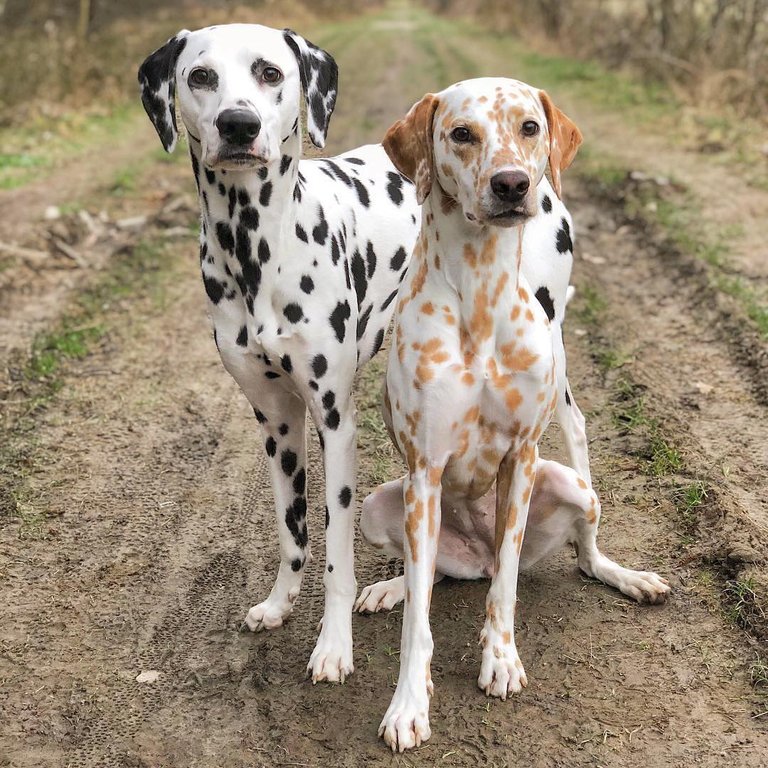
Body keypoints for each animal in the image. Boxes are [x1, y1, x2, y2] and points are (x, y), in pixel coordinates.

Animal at [138, 22, 592, 684]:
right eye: (200, 76)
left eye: (270, 72)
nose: (238, 124)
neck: (255, 247)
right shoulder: (277, 420)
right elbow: (293, 531)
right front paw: (280, 603)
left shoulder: (336, 421)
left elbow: (336, 548)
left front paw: (333, 645)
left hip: (551, 357)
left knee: (575, 432)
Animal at [356, 81, 668, 752]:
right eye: (461, 133)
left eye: (529, 127)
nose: (511, 185)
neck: (479, 291)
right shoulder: (425, 470)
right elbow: (419, 620)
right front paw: (409, 702)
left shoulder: (522, 457)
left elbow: (505, 588)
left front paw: (498, 657)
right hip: (381, 507)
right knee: (428, 578)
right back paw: (392, 587)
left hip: (575, 486)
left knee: (577, 556)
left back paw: (627, 577)